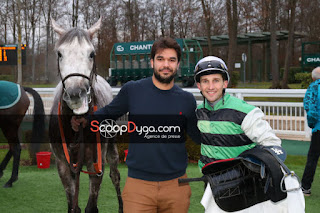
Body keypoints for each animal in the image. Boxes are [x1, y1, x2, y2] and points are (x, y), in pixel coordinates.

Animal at [49, 18, 122, 213]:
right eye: (60, 53)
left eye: (92, 54)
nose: (76, 94)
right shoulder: (62, 164)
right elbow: (73, 206)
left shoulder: (96, 163)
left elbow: (91, 206)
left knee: (115, 175)